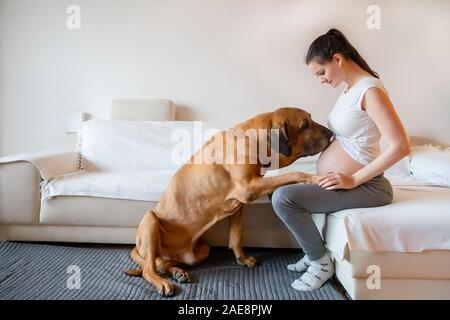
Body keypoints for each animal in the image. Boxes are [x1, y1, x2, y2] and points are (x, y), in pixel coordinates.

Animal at [125, 107, 332, 296]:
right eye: (305, 124)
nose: (331, 133)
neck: (254, 139)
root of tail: (138, 247)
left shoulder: (238, 205)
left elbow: (236, 235)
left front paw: (242, 258)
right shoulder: (249, 188)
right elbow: (295, 174)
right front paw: (313, 178)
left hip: (202, 250)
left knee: (162, 262)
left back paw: (176, 272)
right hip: (150, 219)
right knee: (148, 269)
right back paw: (162, 281)